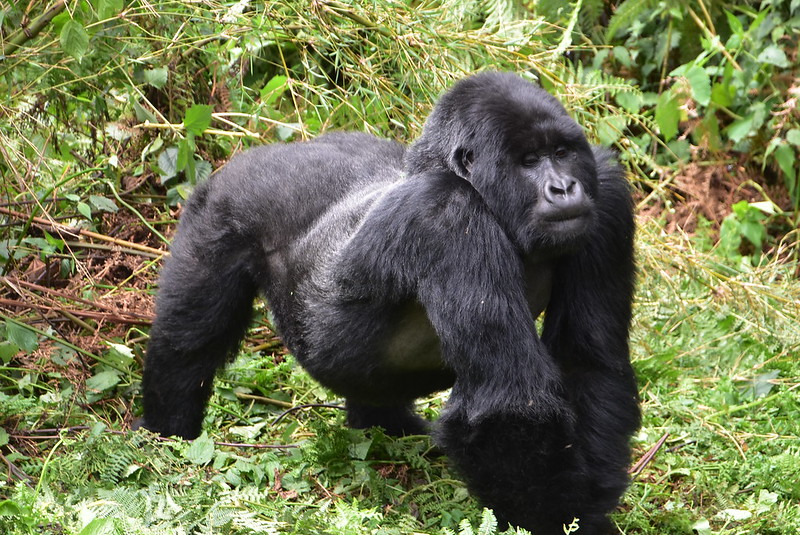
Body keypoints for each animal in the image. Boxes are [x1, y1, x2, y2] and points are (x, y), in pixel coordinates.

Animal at [138, 72, 636, 535]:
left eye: (563, 152)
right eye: (529, 162)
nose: (564, 188)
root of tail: (267, 149)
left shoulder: (606, 197)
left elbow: (589, 362)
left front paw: (592, 507)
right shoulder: (447, 215)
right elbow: (508, 401)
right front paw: (566, 521)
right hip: (223, 203)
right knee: (188, 341)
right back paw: (167, 434)